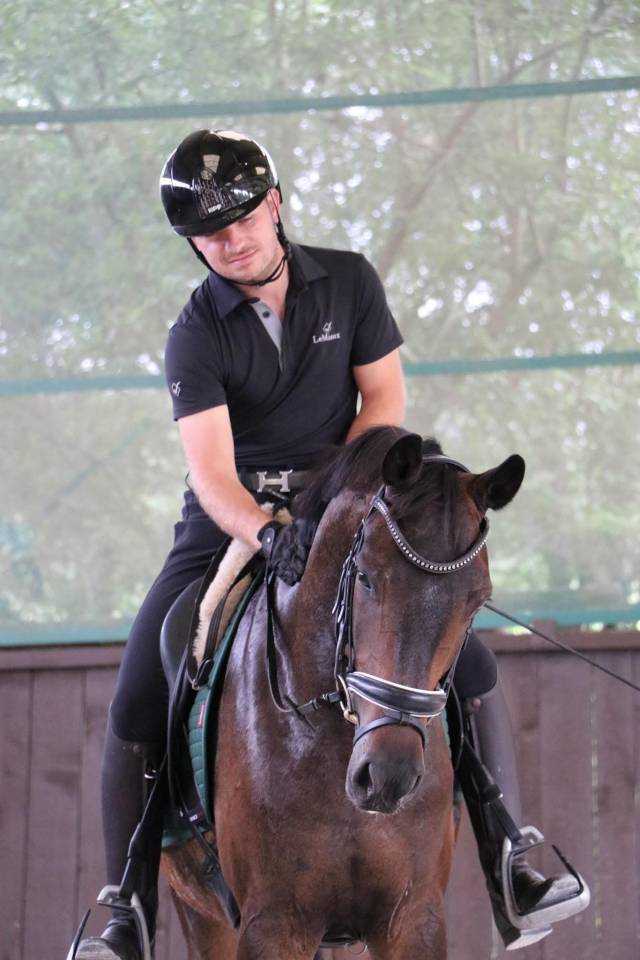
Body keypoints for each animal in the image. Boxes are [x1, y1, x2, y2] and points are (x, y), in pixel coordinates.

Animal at [161, 427, 525, 960]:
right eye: (366, 577)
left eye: (477, 601)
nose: (388, 776)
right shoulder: (272, 924)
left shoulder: (415, 918)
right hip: (202, 913)